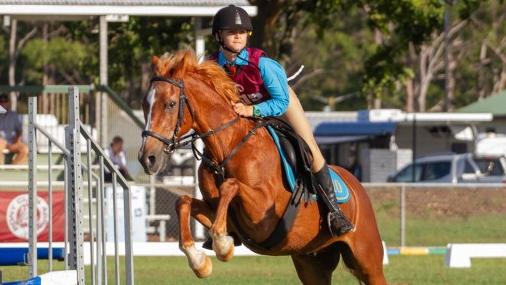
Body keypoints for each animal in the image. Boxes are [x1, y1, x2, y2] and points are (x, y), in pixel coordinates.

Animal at [136, 50, 386, 282]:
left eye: (170, 104)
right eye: (145, 105)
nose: (147, 158)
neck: (228, 147)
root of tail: (357, 186)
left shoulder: (262, 214)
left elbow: (231, 185)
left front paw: (222, 245)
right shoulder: (218, 211)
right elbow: (183, 201)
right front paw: (199, 261)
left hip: (368, 260)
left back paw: (339, 220)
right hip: (312, 262)